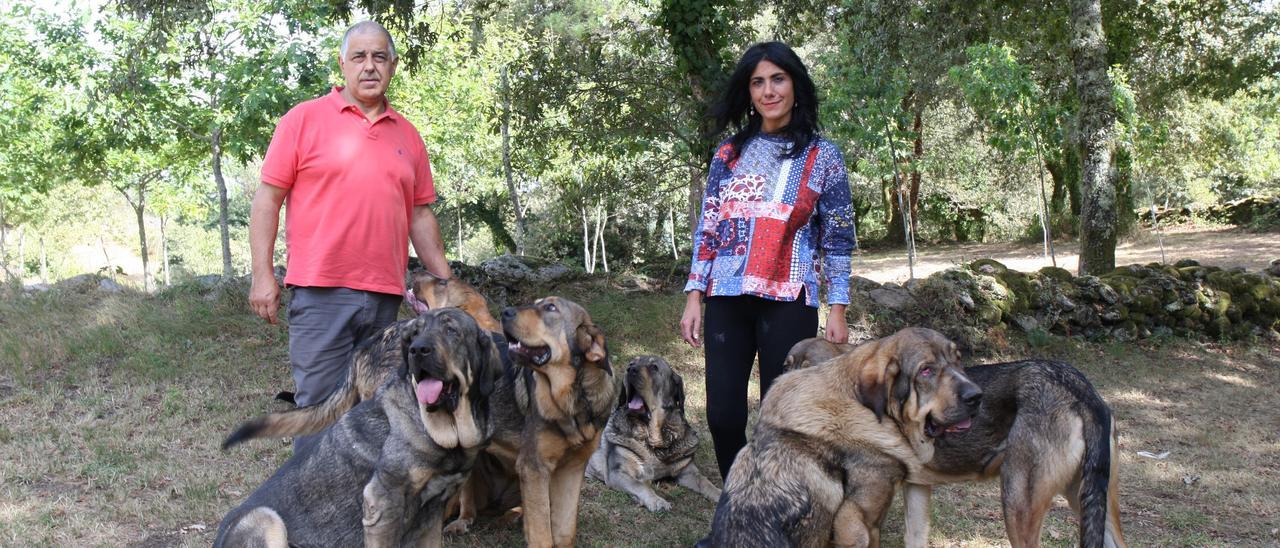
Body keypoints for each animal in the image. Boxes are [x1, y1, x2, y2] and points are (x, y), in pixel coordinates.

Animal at [217, 308, 501, 548]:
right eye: (414, 334)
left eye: (451, 330)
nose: (417, 350)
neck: (443, 430)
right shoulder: (382, 505)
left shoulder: (432, 512)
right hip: (266, 518)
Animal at [586, 355, 721, 509]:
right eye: (631, 364)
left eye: (654, 367)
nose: (630, 369)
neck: (653, 438)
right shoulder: (618, 473)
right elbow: (641, 486)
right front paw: (657, 501)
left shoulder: (687, 471)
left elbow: (704, 481)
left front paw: (720, 493)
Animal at [783, 335, 1126, 545]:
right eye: (786, 366)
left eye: (802, 372)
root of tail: (1078, 387)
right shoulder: (917, 487)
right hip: (1090, 503)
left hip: (1018, 506)